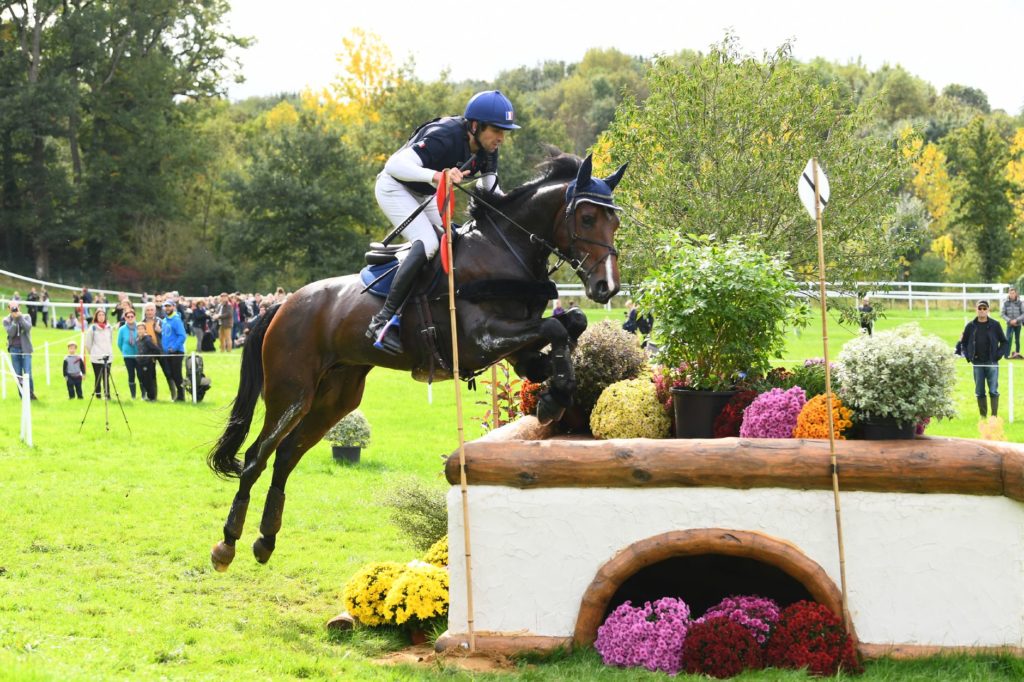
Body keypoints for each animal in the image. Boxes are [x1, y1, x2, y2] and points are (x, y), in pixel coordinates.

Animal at [205, 152, 622, 569]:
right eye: (587, 218)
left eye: (614, 221)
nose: (607, 287)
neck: (503, 251)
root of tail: (281, 306)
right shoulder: (481, 340)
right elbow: (554, 328)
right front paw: (554, 398)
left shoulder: (517, 346)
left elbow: (570, 325)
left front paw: (556, 394)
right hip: (291, 393)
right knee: (256, 456)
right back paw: (227, 543)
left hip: (336, 398)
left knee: (286, 455)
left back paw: (266, 539)